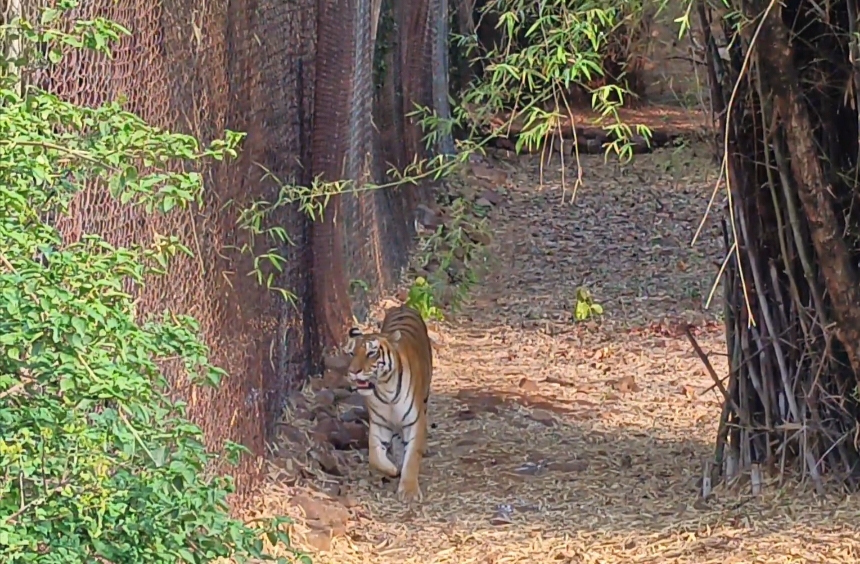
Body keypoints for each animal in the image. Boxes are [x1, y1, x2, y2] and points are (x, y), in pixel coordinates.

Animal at [344, 304, 433, 502]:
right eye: (352, 353)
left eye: (371, 353)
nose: (353, 371)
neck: (386, 390)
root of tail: (403, 306)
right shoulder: (379, 425)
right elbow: (375, 457)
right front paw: (392, 469)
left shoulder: (414, 422)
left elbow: (412, 456)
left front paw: (409, 491)